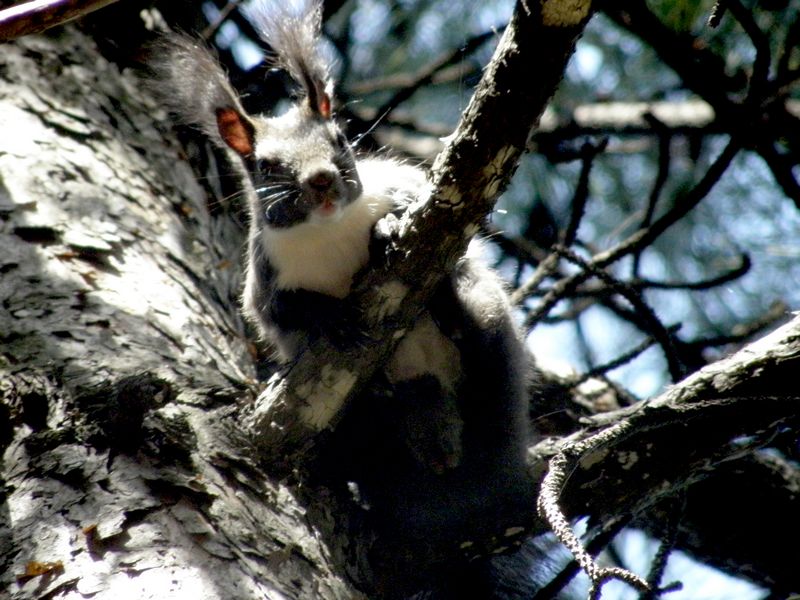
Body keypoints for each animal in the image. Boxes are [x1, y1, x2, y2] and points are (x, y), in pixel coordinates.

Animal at [151, 2, 536, 596]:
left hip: (490, 334)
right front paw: (330, 317)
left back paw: (448, 306)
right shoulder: (266, 284)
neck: (326, 231)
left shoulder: (402, 187)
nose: (322, 180)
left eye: (339, 139)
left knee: (475, 337)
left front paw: (386, 232)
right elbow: (285, 312)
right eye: (266, 166)